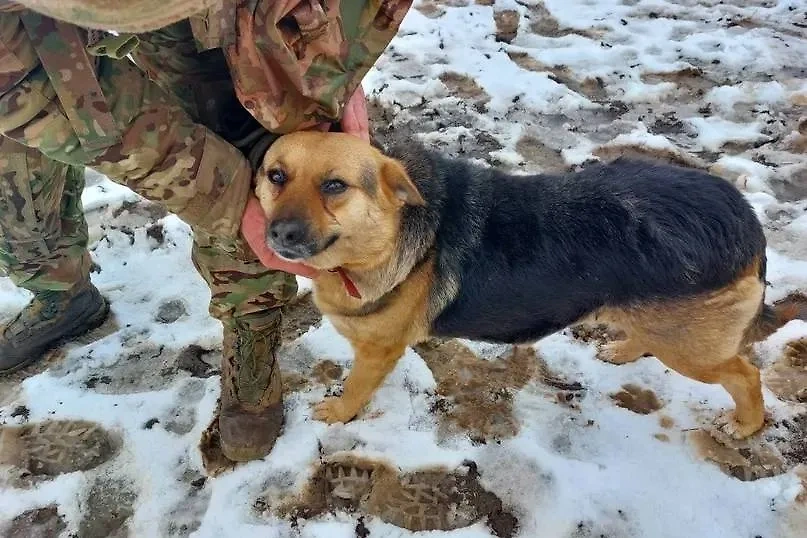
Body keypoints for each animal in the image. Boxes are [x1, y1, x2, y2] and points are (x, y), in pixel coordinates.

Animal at [256, 132, 784, 438]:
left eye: (335, 186)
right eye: (276, 175)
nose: (279, 235)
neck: (390, 232)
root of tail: (745, 219)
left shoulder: (378, 352)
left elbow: (355, 389)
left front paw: (338, 414)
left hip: (691, 349)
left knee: (745, 374)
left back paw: (747, 424)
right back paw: (625, 349)